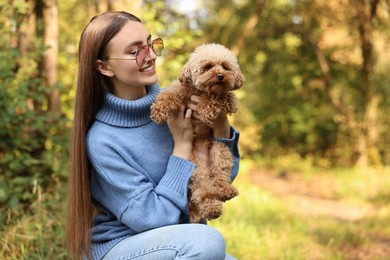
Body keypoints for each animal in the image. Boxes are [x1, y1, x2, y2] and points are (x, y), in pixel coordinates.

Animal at [150, 43, 244, 222]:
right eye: (208, 66)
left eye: (225, 66)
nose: (220, 76)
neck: (200, 91)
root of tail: (205, 162)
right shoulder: (180, 90)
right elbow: (168, 94)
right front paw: (158, 110)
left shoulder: (231, 101)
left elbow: (219, 97)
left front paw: (206, 109)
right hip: (196, 168)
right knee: (203, 191)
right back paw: (211, 208)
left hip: (220, 151)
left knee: (219, 178)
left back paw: (225, 191)